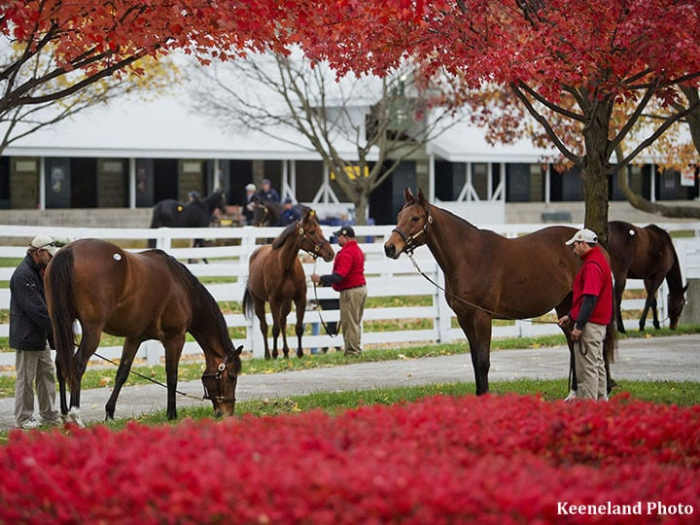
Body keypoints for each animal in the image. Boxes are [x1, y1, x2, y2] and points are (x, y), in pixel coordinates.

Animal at [45, 238, 243, 426]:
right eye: (232, 377)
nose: (227, 413)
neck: (182, 287)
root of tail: (70, 250)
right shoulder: (175, 338)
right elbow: (172, 375)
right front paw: (172, 414)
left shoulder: (134, 338)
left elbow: (122, 374)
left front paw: (109, 413)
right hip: (93, 330)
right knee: (77, 365)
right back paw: (75, 414)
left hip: (60, 324)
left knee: (61, 363)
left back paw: (64, 414)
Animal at [243, 208, 334, 359]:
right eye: (312, 232)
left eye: (321, 230)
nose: (330, 253)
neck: (285, 266)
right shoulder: (273, 300)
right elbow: (275, 329)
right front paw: (275, 354)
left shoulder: (300, 299)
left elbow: (298, 327)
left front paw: (300, 353)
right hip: (259, 302)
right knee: (265, 326)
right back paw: (268, 354)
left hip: (285, 302)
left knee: (283, 322)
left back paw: (285, 352)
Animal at [384, 188, 616, 396]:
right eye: (399, 216)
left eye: (415, 218)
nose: (389, 247)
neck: (470, 258)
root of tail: (599, 247)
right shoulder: (464, 318)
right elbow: (474, 360)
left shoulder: (482, 317)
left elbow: (483, 361)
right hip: (566, 305)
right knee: (573, 343)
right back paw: (574, 392)